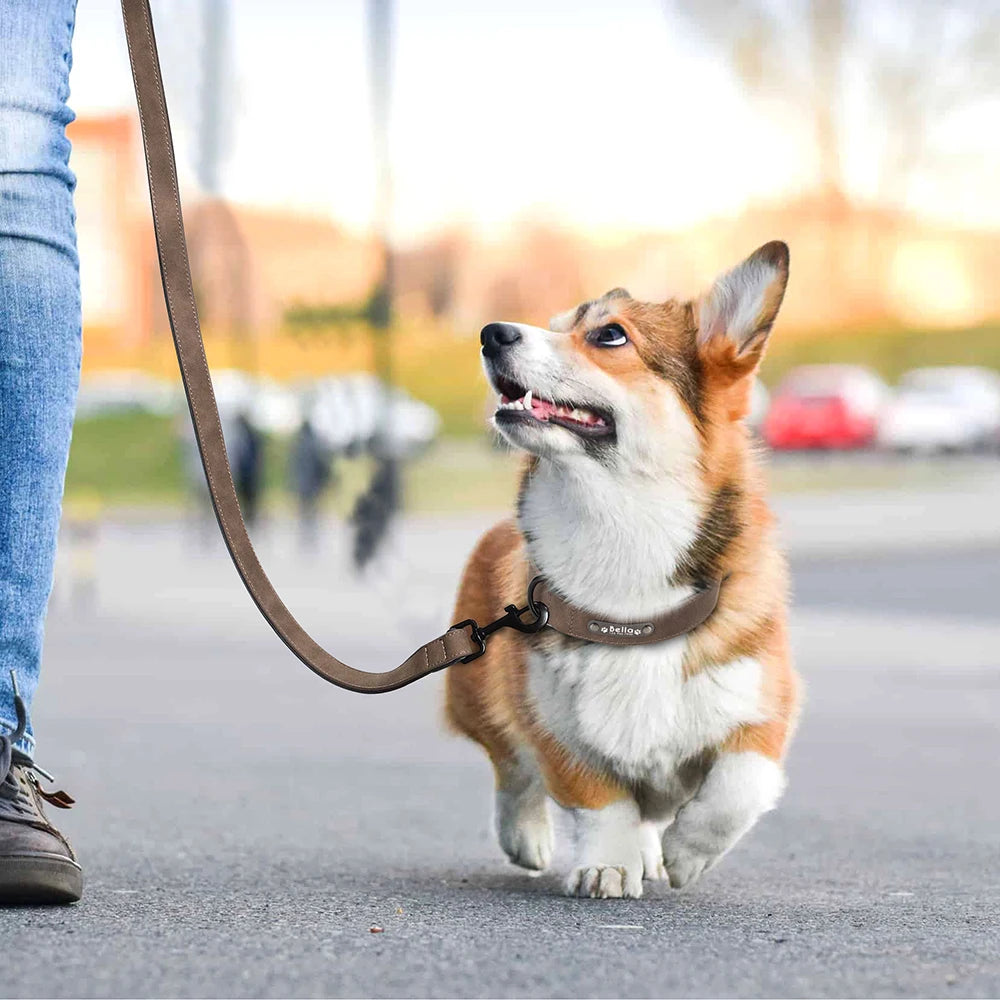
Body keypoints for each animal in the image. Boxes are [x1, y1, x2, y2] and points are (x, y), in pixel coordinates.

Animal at [446, 240, 796, 900]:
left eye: (609, 335)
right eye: (556, 325)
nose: (491, 332)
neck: (621, 533)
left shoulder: (763, 710)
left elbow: (738, 787)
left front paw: (687, 853)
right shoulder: (555, 726)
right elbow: (600, 802)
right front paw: (606, 865)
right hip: (478, 694)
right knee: (511, 767)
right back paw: (527, 836)